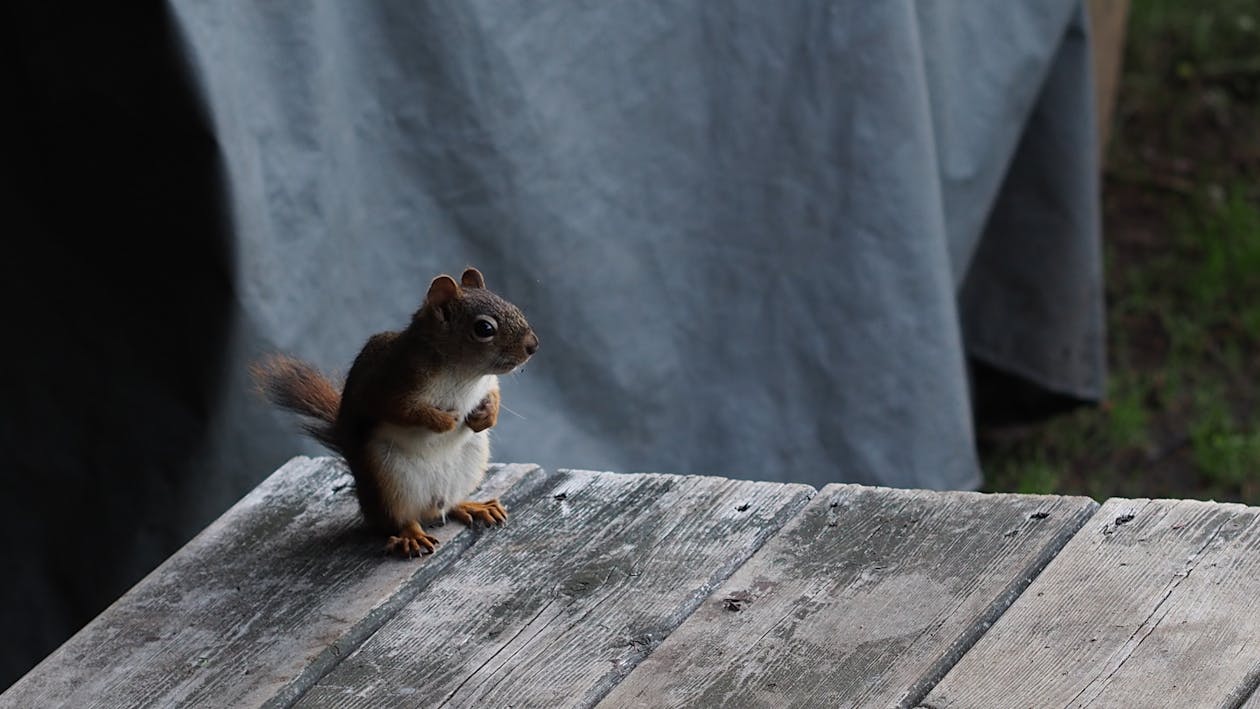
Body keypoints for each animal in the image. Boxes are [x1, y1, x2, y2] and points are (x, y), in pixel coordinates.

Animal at [250, 269, 536, 556]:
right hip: (388, 480)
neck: (464, 374)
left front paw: (485, 416)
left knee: (449, 505)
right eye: (484, 329)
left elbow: (494, 395)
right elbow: (405, 411)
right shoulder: (390, 385)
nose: (533, 345)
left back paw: (472, 506)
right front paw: (445, 421)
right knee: (399, 519)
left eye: (513, 306)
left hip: (470, 461)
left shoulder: (487, 384)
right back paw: (412, 536)